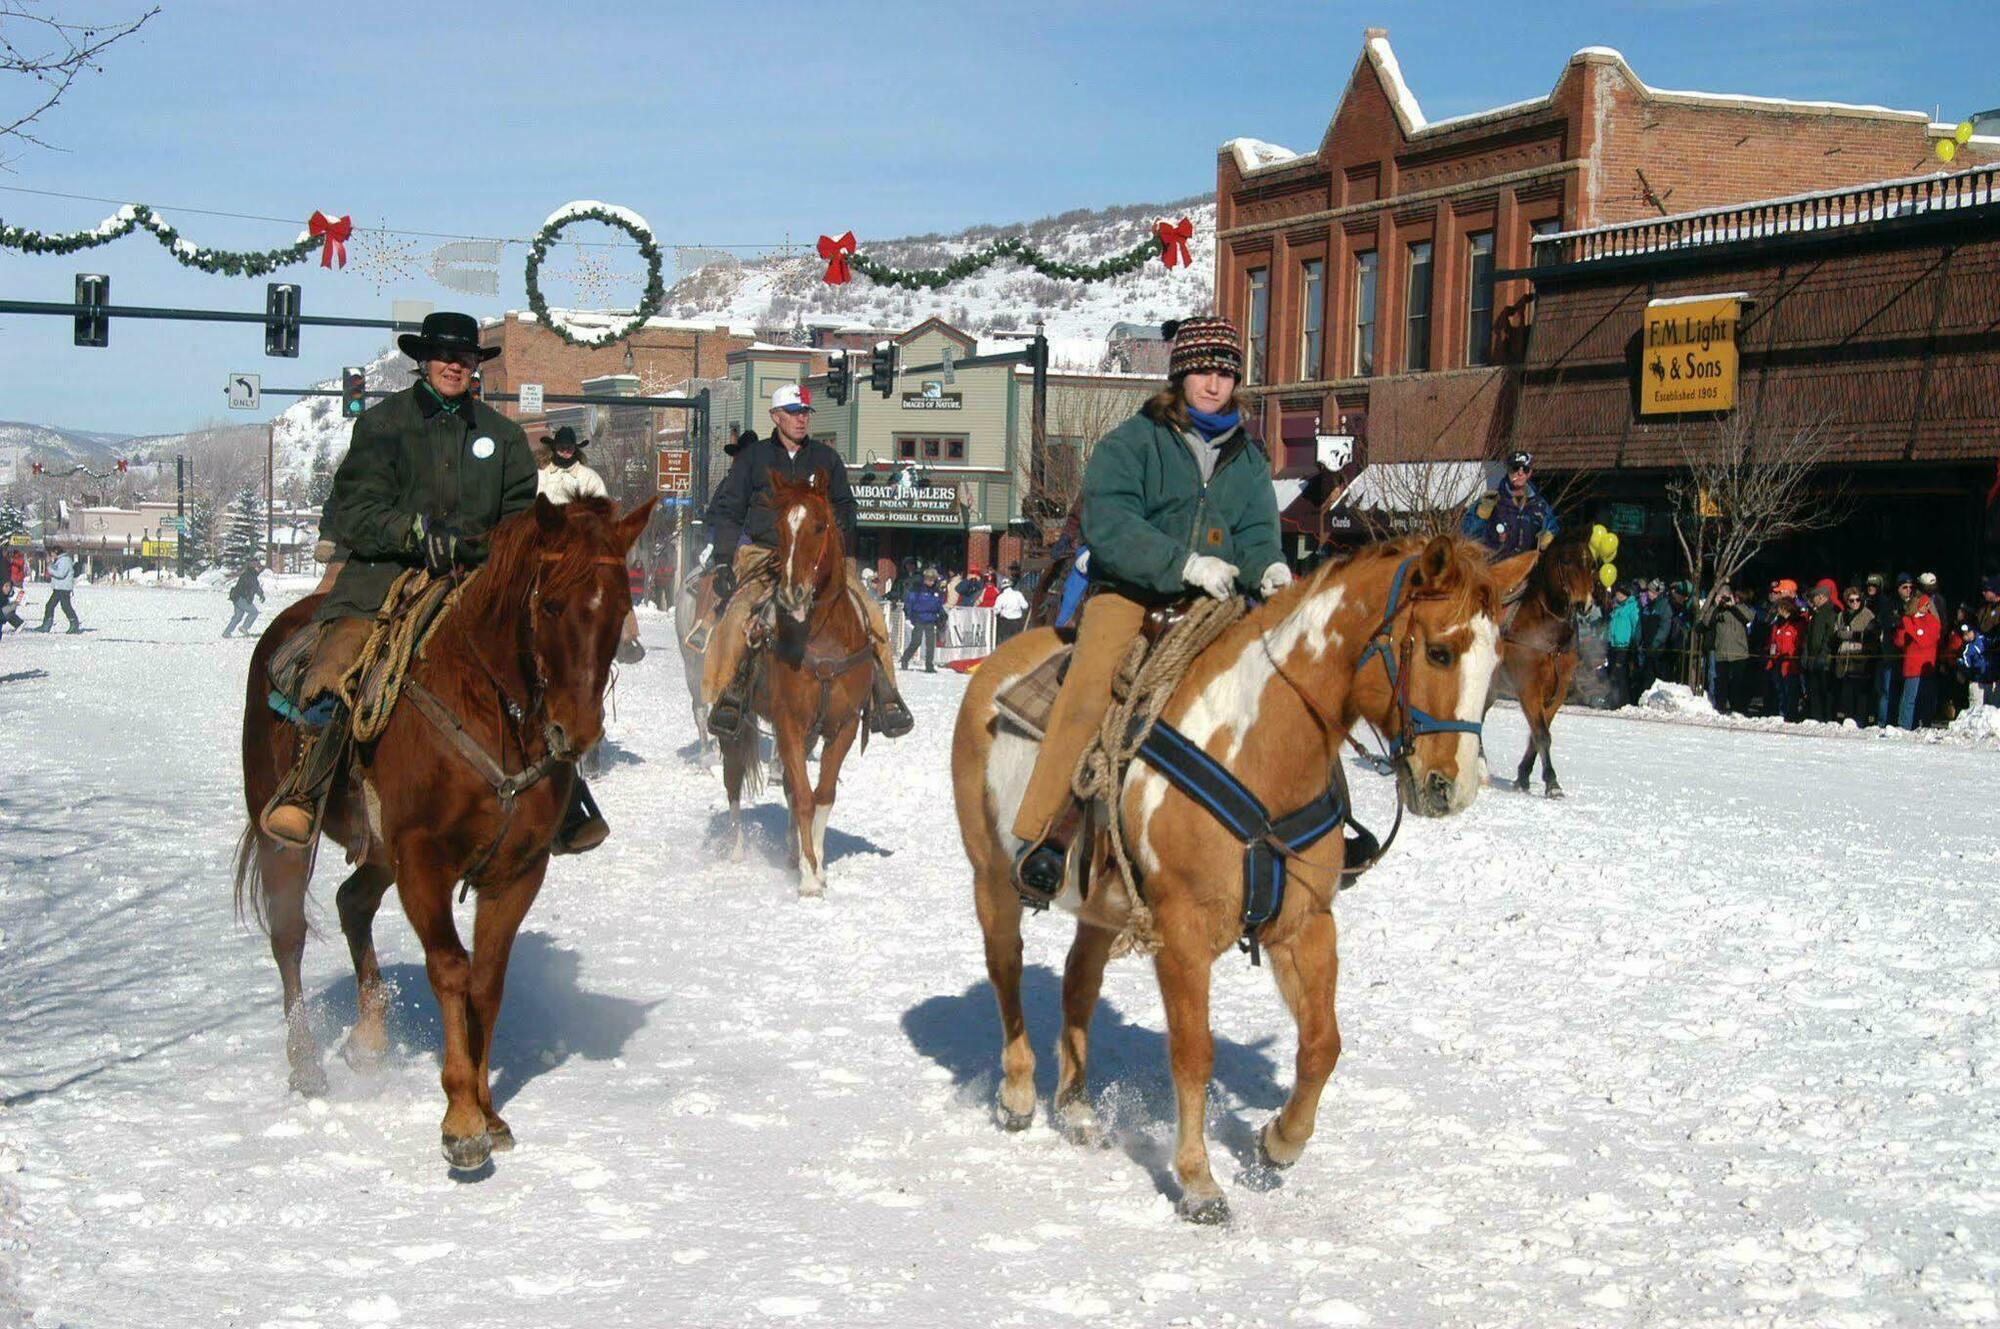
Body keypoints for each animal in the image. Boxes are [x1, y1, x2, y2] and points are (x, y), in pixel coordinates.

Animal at [236, 492, 656, 1168]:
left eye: (621, 606)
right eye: (550, 604)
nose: (577, 733)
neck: (487, 707)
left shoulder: (517, 871)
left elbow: (486, 982)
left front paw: (490, 1110)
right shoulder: (422, 858)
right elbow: (450, 969)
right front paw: (461, 1118)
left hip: (379, 854)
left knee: (351, 903)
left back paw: (369, 1038)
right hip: (282, 836)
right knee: (289, 936)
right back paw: (305, 1065)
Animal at [720, 466, 876, 892]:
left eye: (820, 526)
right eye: (780, 528)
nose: (792, 593)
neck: (823, 639)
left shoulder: (842, 726)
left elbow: (821, 795)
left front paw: (815, 865)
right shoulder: (789, 722)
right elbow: (804, 796)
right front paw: (808, 878)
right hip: (734, 728)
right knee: (733, 782)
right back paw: (737, 849)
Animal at [952, 536, 1528, 1216]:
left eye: (1496, 663)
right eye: (1439, 651)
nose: (1453, 788)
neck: (1260, 750)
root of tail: (996, 663)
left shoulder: (1305, 924)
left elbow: (1322, 1044)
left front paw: (1279, 1142)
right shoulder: (1181, 936)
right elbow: (1193, 1053)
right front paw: (1198, 1181)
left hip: (1101, 903)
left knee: (1079, 983)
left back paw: (1077, 1109)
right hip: (991, 875)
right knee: (1006, 969)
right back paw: (1018, 1093)